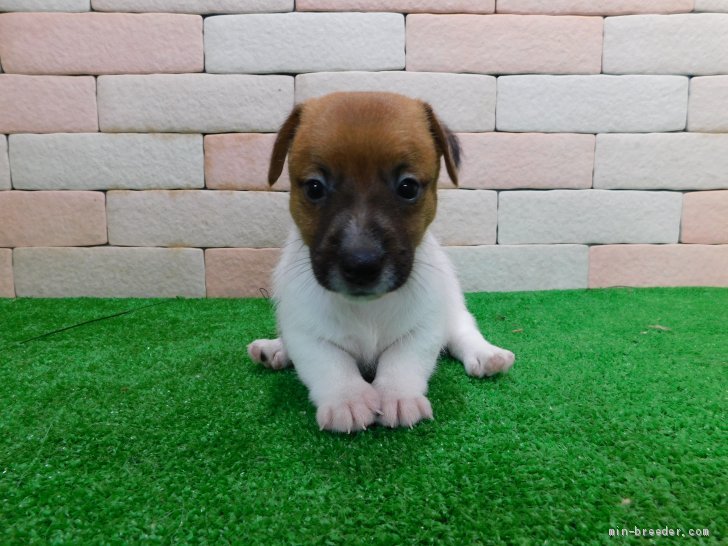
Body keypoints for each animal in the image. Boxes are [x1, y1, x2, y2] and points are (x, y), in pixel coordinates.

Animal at [247, 91, 516, 432]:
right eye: (314, 188)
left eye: (408, 187)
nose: (361, 264)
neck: (367, 309)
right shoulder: (305, 332)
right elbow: (330, 363)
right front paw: (347, 398)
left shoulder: (424, 326)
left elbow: (402, 360)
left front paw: (397, 396)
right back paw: (274, 350)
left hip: (452, 307)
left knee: (461, 331)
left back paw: (487, 355)